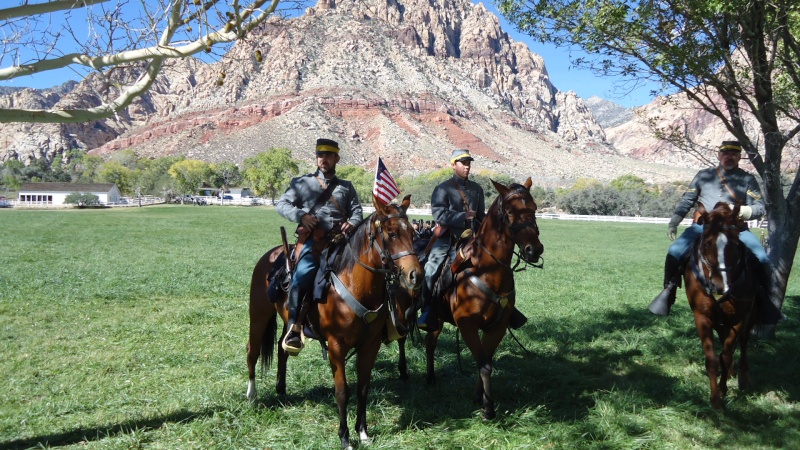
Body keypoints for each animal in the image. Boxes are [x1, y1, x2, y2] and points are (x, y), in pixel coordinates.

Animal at [245, 195, 424, 448]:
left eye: (413, 233)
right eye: (391, 234)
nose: (416, 276)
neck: (355, 285)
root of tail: (271, 256)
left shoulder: (370, 346)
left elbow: (363, 388)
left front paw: (363, 432)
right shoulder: (337, 347)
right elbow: (342, 392)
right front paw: (345, 437)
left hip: (288, 321)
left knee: (282, 347)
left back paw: (281, 388)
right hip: (259, 314)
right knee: (252, 350)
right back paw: (252, 396)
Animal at [424, 178, 544, 418]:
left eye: (534, 208)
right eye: (509, 212)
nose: (534, 250)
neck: (487, 270)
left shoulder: (497, 326)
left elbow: (485, 361)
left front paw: (479, 398)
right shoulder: (467, 324)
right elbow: (483, 364)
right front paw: (488, 408)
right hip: (433, 319)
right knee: (429, 344)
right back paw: (430, 378)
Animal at [684, 202, 760, 410]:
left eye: (734, 244)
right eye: (706, 243)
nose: (719, 286)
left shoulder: (740, 319)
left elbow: (726, 355)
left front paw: (724, 389)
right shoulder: (702, 317)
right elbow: (712, 359)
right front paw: (715, 399)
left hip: (750, 316)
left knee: (742, 343)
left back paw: (743, 377)